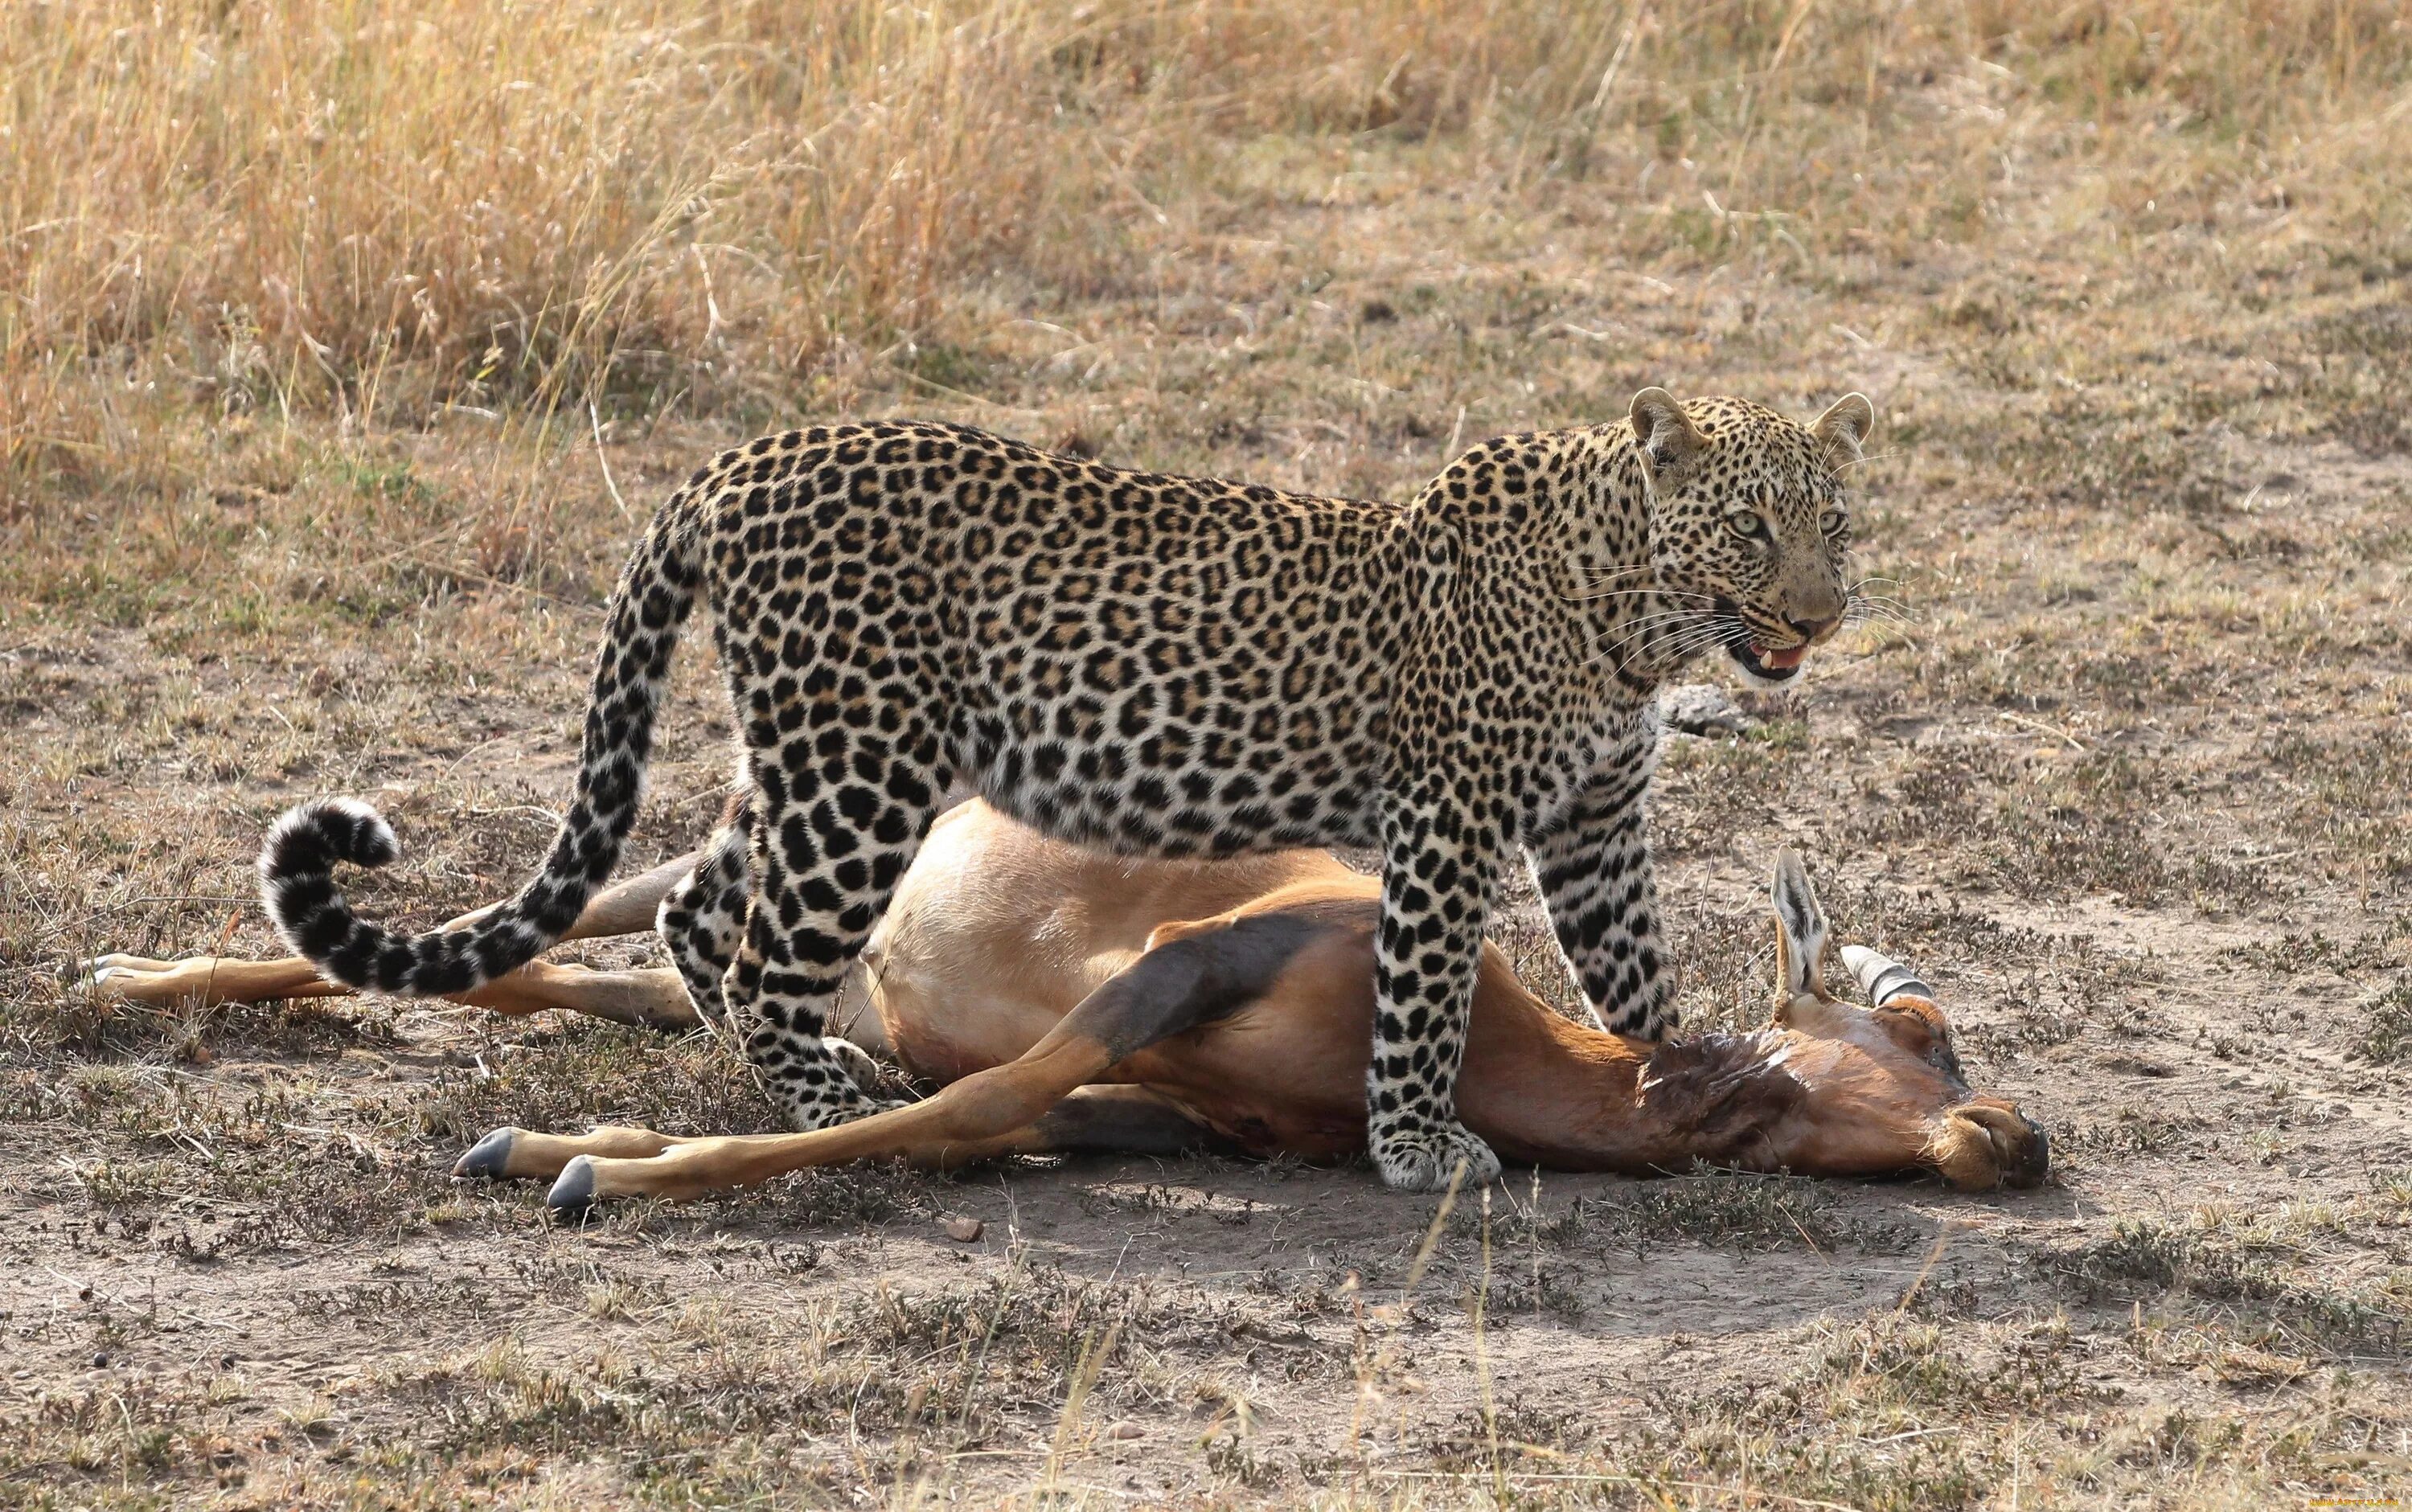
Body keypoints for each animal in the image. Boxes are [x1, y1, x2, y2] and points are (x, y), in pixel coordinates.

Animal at [264, 383, 1881, 1191]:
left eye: (1839, 525)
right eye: (1752, 529)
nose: (1819, 617)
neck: (1633, 614)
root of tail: (736, 464)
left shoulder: (1599, 824)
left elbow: (1636, 976)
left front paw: (1689, 1071)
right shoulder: (1451, 819)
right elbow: (1423, 997)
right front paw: (1420, 1149)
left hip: (804, 757)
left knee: (703, 910)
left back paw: (789, 1059)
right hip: (863, 771)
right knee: (767, 949)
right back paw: (831, 1098)